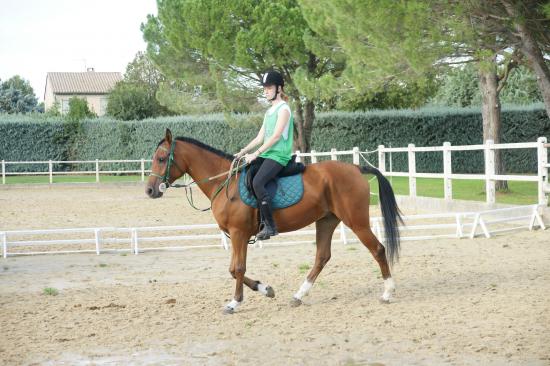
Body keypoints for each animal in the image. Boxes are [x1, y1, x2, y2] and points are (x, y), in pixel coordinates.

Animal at [147, 127, 404, 314]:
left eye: (162, 158)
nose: (150, 190)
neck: (225, 182)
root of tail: (356, 168)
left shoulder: (239, 233)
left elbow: (237, 268)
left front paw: (235, 302)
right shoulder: (238, 235)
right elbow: (232, 269)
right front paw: (265, 289)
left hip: (356, 222)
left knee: (378, 249)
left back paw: (388, 293)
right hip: (326, 221)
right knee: (322, 257)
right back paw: (298, 295)